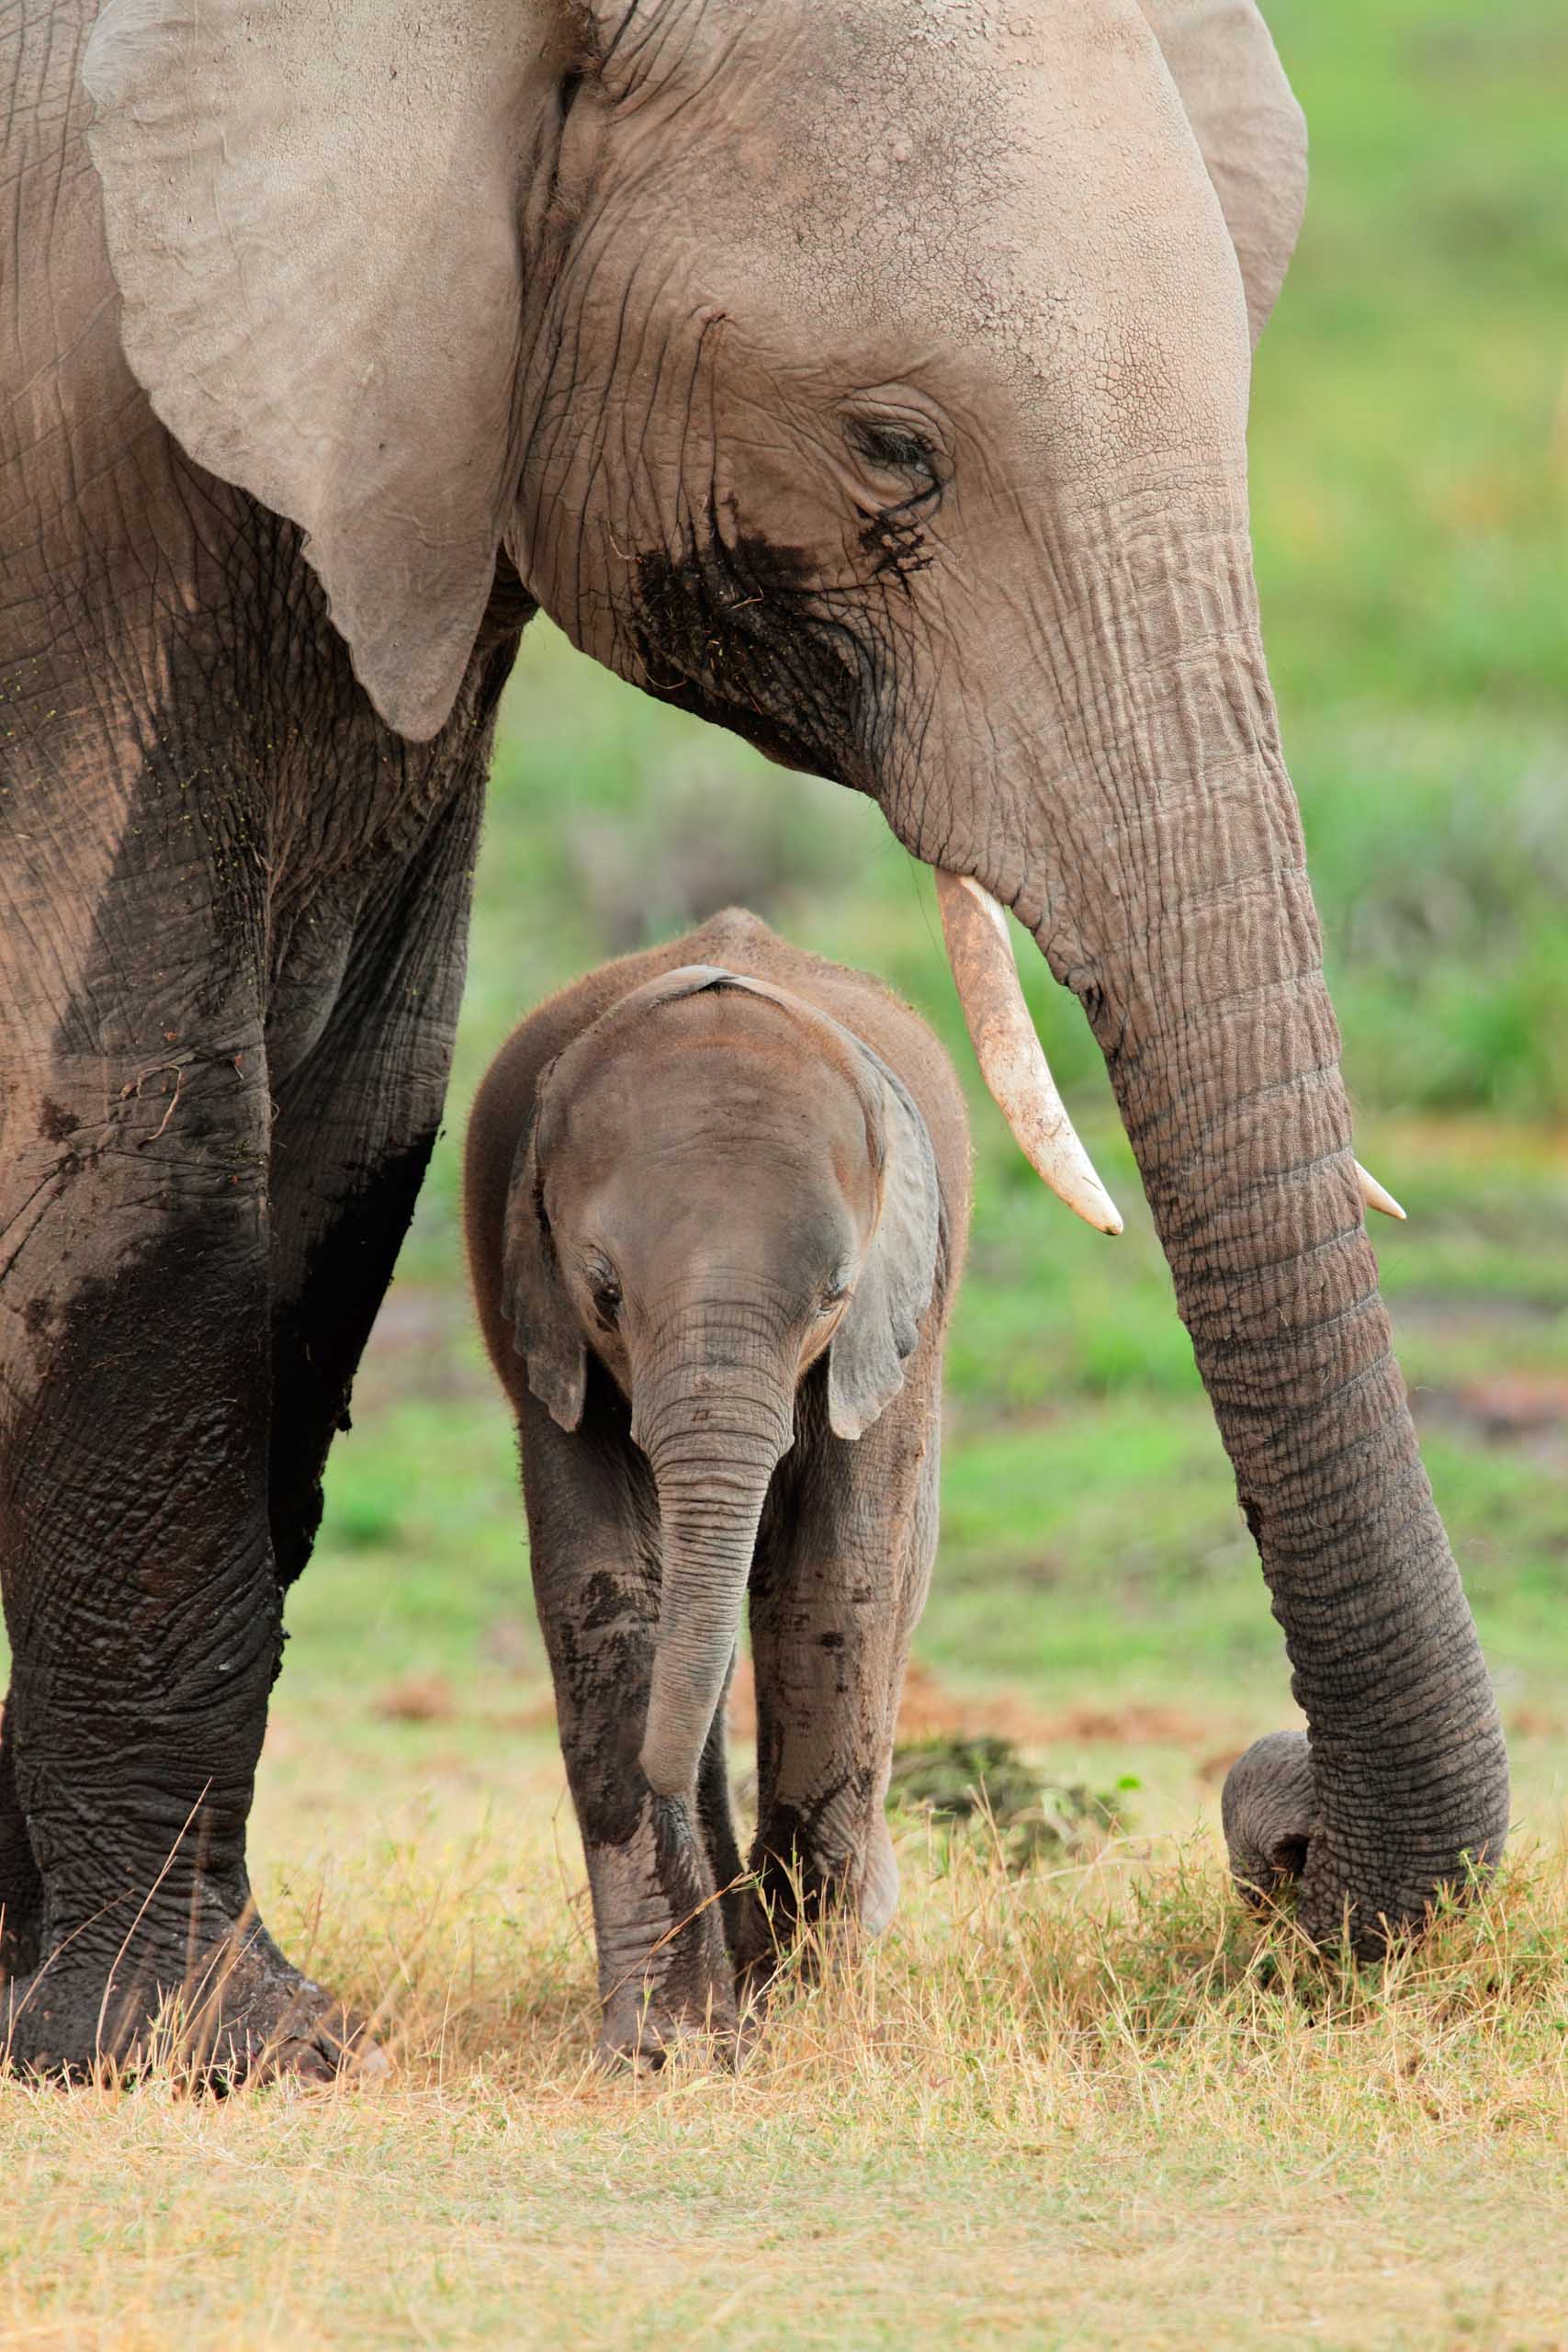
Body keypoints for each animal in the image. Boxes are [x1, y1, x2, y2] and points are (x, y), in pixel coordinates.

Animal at [463, 908, 968, 2069]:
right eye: (605, 1290)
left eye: (834, 1293)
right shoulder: (548, 1333)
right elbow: (605, 1589)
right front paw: (671, 2048)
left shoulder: (889, 1333)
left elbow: (832, 1586)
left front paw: (805, 2017)